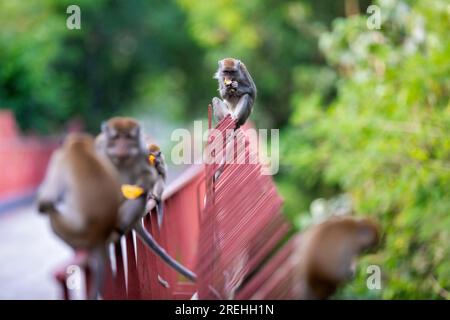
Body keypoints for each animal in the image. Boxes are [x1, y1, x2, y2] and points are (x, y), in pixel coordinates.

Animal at [37, 133, 121, 300]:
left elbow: (48, 199)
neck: (79, 147)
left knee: (52, 217)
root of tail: (99, 235)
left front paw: (42, 204)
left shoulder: (58, 158)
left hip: (75, 234)